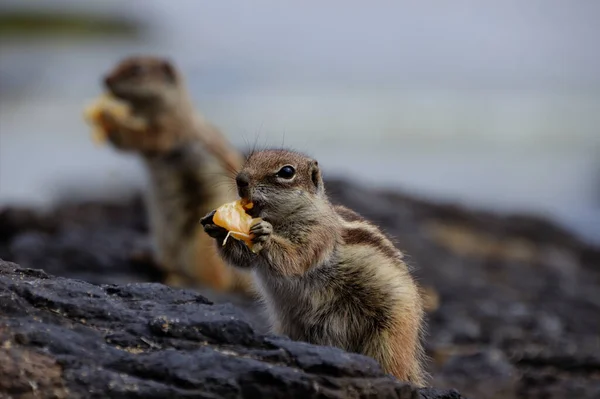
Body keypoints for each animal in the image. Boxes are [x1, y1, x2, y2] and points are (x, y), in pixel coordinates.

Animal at [202, 149, 426, 384]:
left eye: (287, 172)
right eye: (251, 158)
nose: (241, 179)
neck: (281, 220)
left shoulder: (319, 234)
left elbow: (296, 258)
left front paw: (265, 235)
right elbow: (242, 259)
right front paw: (215, 223)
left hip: (391, 335)